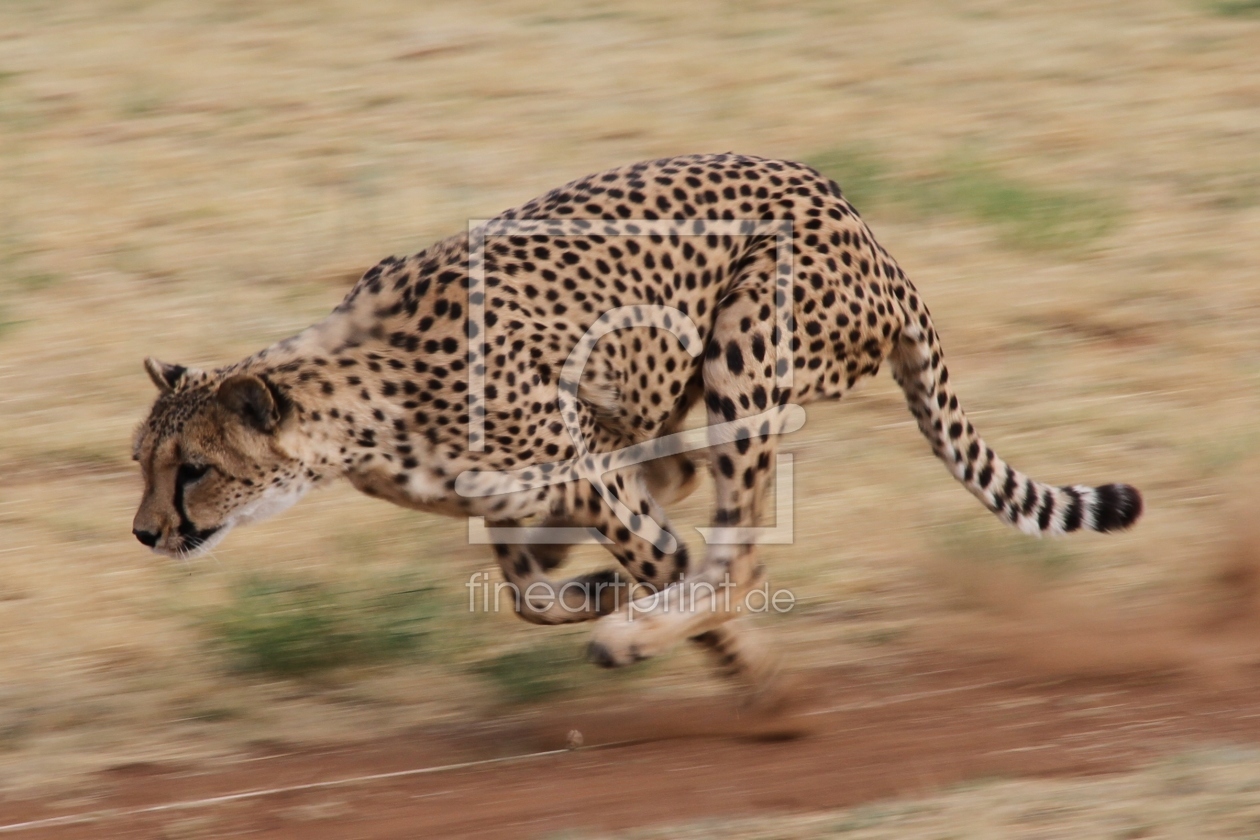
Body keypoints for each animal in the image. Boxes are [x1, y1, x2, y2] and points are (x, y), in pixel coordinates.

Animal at [130, 154, 1144, 695]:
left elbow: (672, 565)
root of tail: (856, 217)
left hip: (746, 346)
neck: (358, 410)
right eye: (142, 461)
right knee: (695, 487)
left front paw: (749, 679)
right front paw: (598, 590)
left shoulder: (585, 468)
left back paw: (644, 630)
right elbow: (529, 592)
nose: (145, 533)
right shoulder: (539, 476)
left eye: (194, 469)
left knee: (742, 552)